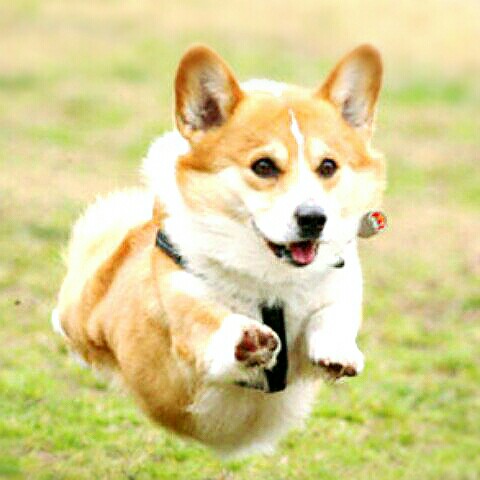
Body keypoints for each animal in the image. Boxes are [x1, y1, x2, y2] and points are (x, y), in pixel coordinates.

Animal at [53, 44, 385, 457]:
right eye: (264, 166)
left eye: (328, 166)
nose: (313, 219)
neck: (271, 280)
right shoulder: (185, 307)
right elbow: (210, 322)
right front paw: (247, 341)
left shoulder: (337, 291)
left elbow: (331, 316)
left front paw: (339, 352)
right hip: (85, 313)